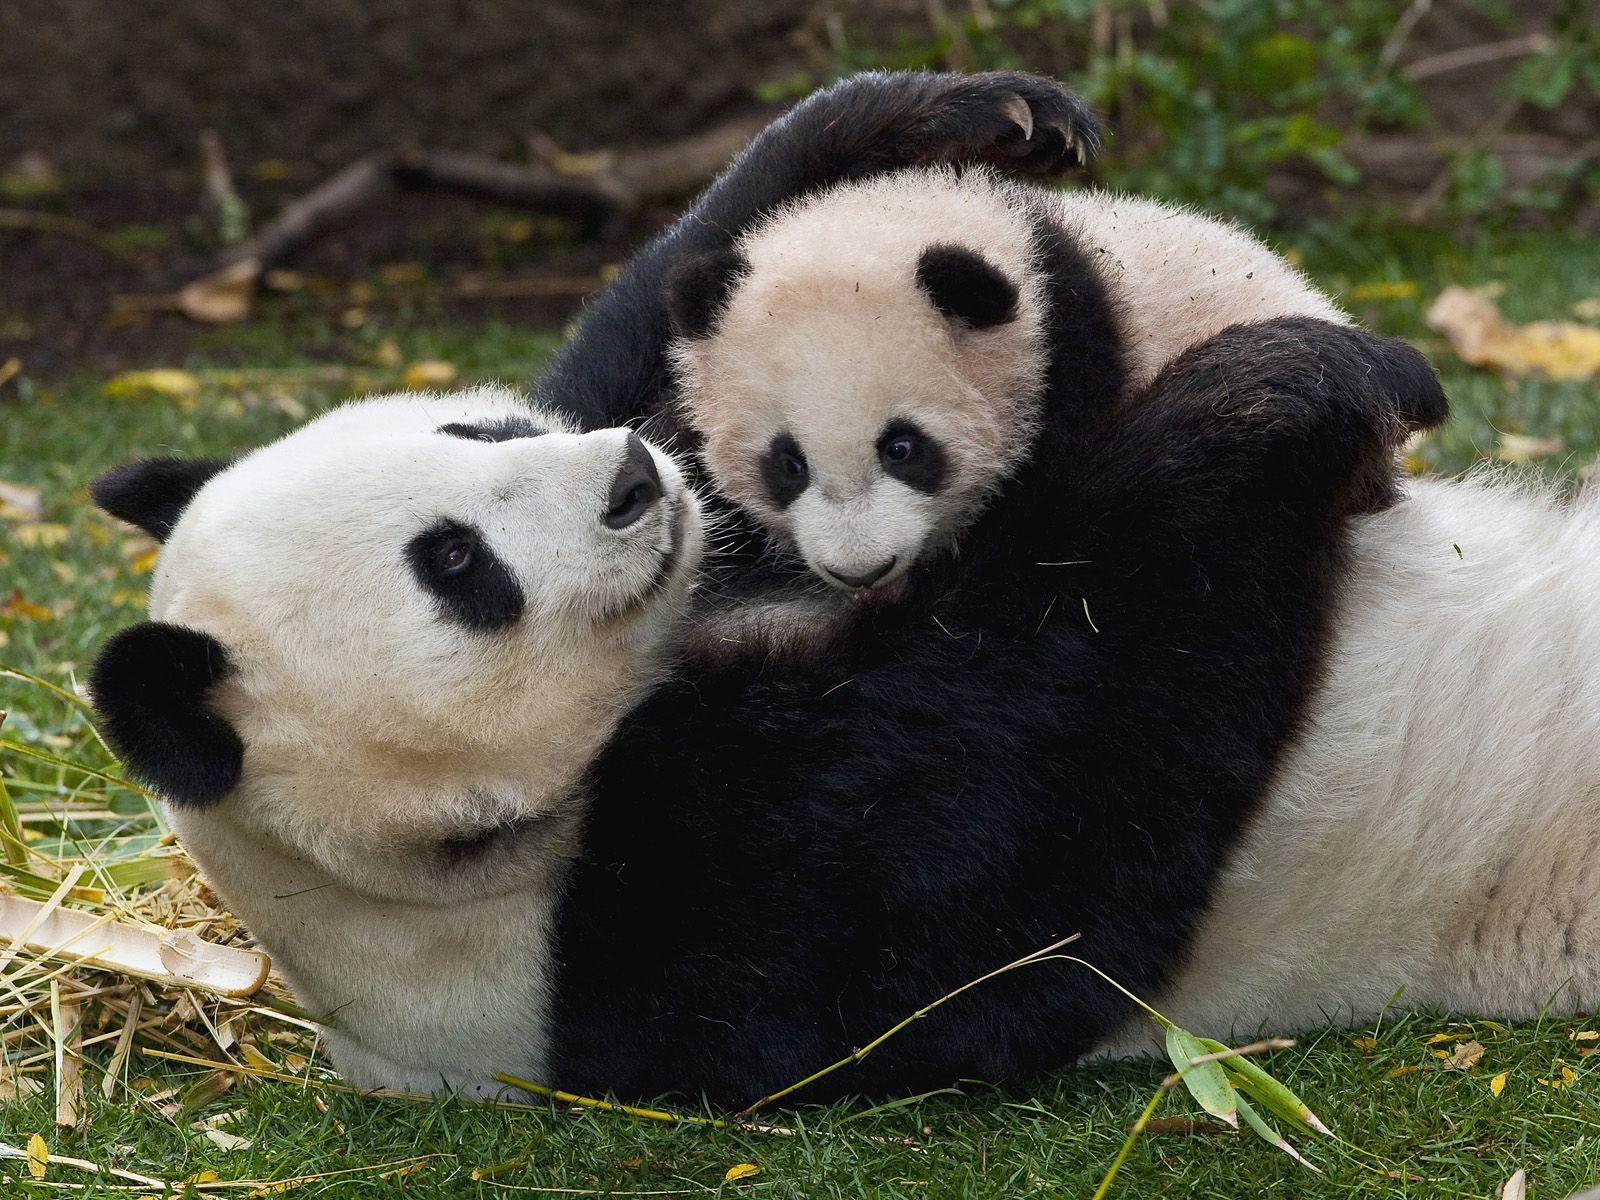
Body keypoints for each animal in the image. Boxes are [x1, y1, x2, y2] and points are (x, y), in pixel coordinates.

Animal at [86, 314, 1445, 1103]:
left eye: (476, 425)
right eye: (456, 564)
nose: (633, 478)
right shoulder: (662, 941)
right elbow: (1050, 809)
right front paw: (1283, 390)